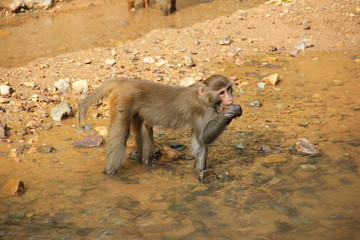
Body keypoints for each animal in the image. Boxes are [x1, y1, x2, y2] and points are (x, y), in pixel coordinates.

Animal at [78, 74, 242, 174]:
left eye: (228, 90)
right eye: (222, 93)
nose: (230, 98)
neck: (203, 98)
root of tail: (124, 81)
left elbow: (201, 144)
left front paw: (200, 171)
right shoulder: (204, 111)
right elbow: (203, 138)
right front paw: (232, 112)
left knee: (144, 128)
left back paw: (145, 163)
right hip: (122, 99)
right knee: (120, 137)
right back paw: (110, 173)